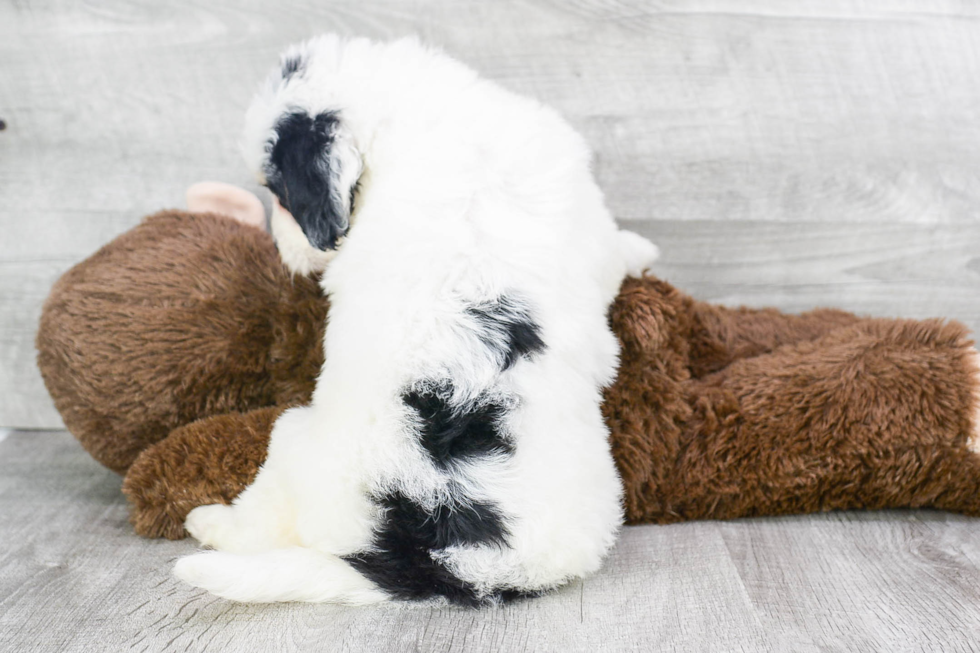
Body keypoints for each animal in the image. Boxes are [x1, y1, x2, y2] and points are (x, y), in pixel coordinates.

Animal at [175, 34, 660, 608]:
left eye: (280, 195)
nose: (287, 252)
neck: (419, 111)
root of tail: (441, 558)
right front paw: (642, 249)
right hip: (295, 439)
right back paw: (209, 522)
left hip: (293, 438)